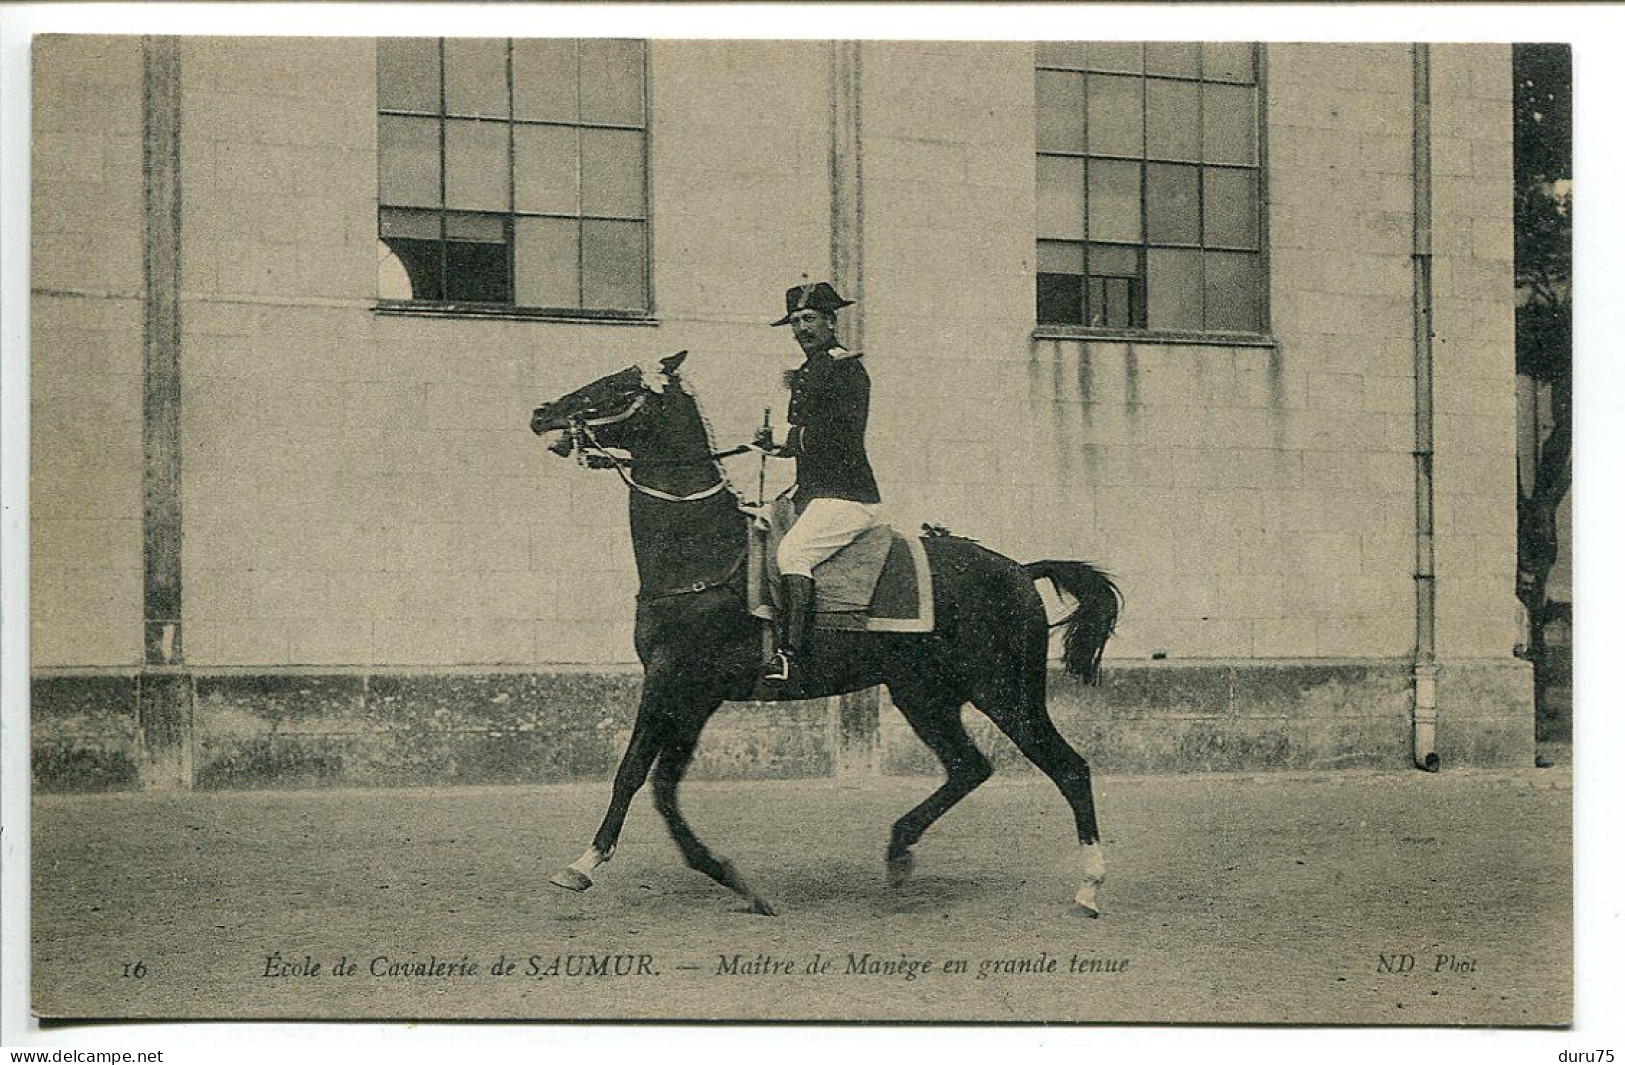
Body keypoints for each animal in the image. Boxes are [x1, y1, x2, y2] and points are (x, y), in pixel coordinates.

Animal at [526, 349, 1124, 917]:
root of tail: (1020, 570)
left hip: (1005, 695)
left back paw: (1090, 890)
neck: (706, 551)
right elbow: (661, 787)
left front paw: (583, 864)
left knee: (1069, 768)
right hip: (924, 695)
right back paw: (899, 851)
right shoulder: (691, 695)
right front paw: (732, 878)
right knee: (968, 767)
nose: (542, 413)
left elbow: (632, 773)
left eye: (618, 387)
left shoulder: (675, 683)